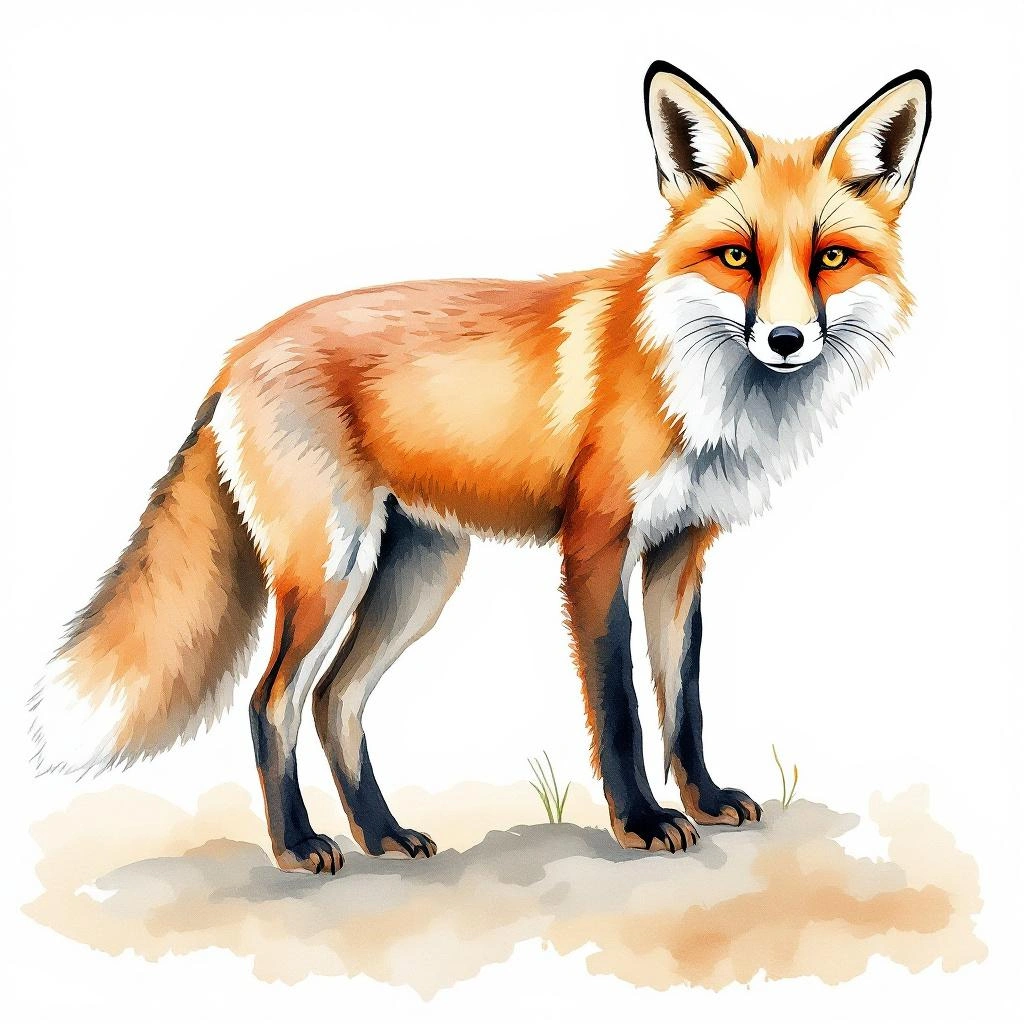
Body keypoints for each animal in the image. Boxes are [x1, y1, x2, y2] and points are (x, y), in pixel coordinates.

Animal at [30, 62, 931, 873]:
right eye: (738, 257)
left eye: (831, 259)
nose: (785, 339)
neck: (694, 385)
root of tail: (239, 352)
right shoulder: (594, 544)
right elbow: (621, 704)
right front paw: (641, 821)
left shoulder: (682, 549)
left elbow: (685, 699)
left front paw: (704, 801)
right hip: (330, 568)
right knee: (271, 702)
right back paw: (299, 846)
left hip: (420, 574)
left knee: (335, 700)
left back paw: (383, 835)